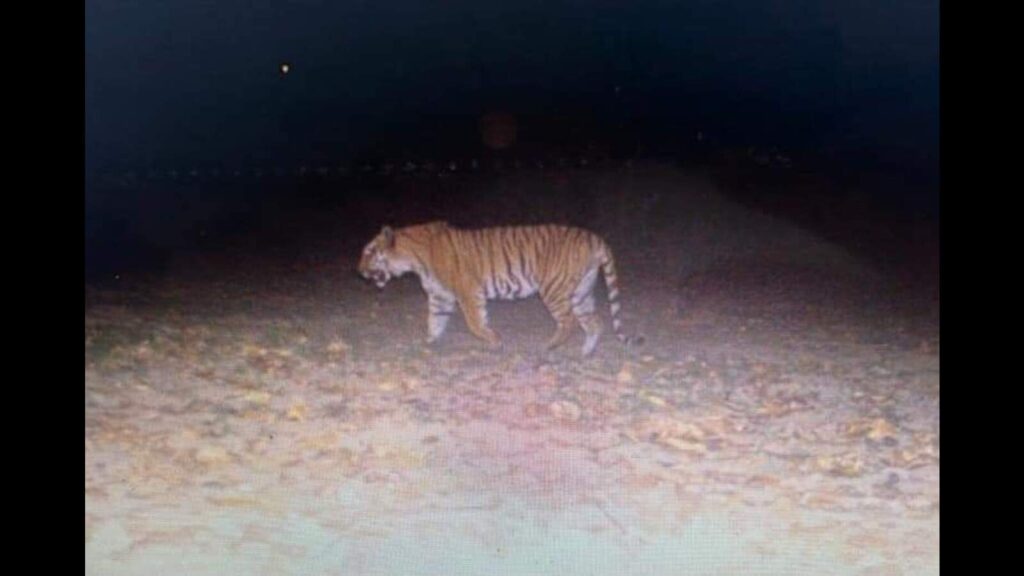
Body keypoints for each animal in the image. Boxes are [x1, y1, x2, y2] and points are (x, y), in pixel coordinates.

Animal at [358, 221, 644, 356]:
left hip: (554, 289)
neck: (414, 260)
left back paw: (549, 347)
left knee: (569, 322)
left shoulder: (467, 292)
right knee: (594, 322)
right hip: (581, 292)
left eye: (369, 251)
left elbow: (475, 323)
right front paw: (428, 343)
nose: (358, 271)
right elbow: (434, 321)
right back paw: (586, 352)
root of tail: (594, 237)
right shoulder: (440, 296)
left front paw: (495, 341)